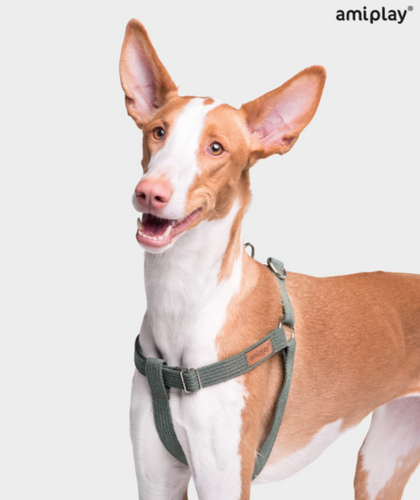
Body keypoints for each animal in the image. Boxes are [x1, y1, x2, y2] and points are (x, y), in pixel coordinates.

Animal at [119, 19, 420, 500]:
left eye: (216, 148)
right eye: (158, 132)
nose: (150, 192)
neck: (183, 301)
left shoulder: (225, 480)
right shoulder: (155, 481)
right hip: (381, 464)